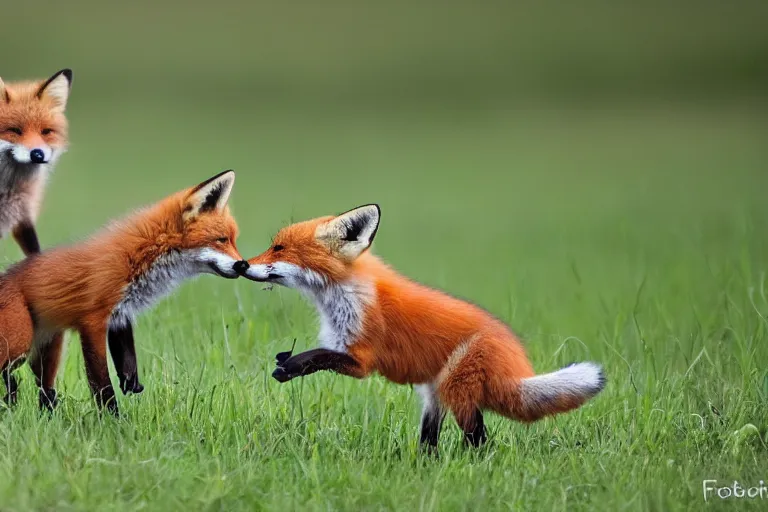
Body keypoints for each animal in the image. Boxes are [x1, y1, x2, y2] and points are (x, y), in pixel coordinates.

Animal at [0, 172, 246, 416]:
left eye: (233, 240)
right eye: (221, 239)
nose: (242, 265)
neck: (142, 254)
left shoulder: (120, 313)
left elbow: (126, 355)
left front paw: (130, 382)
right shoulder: (93, 320)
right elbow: (101, 383)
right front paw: (114, 420)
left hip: (49, 348)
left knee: (44, 391)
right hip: (20, 341)